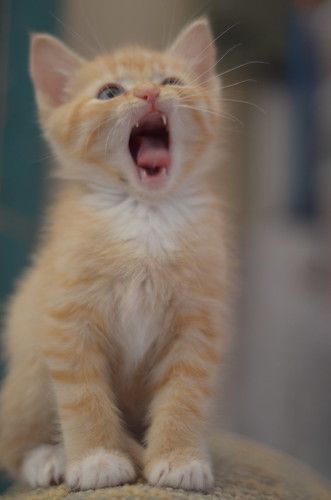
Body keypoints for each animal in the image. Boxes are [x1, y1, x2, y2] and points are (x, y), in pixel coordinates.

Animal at [0, 17, 230, 490]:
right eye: (109, 92)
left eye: (171, 81)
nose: (148, 94)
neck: (145, 213)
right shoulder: (67, 318)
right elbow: (82, 396)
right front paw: (97, 459)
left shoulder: (198, 324)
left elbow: (184, 394)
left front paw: (179, 457)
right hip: (29, 370)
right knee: (11, 443)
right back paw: (47, 457)